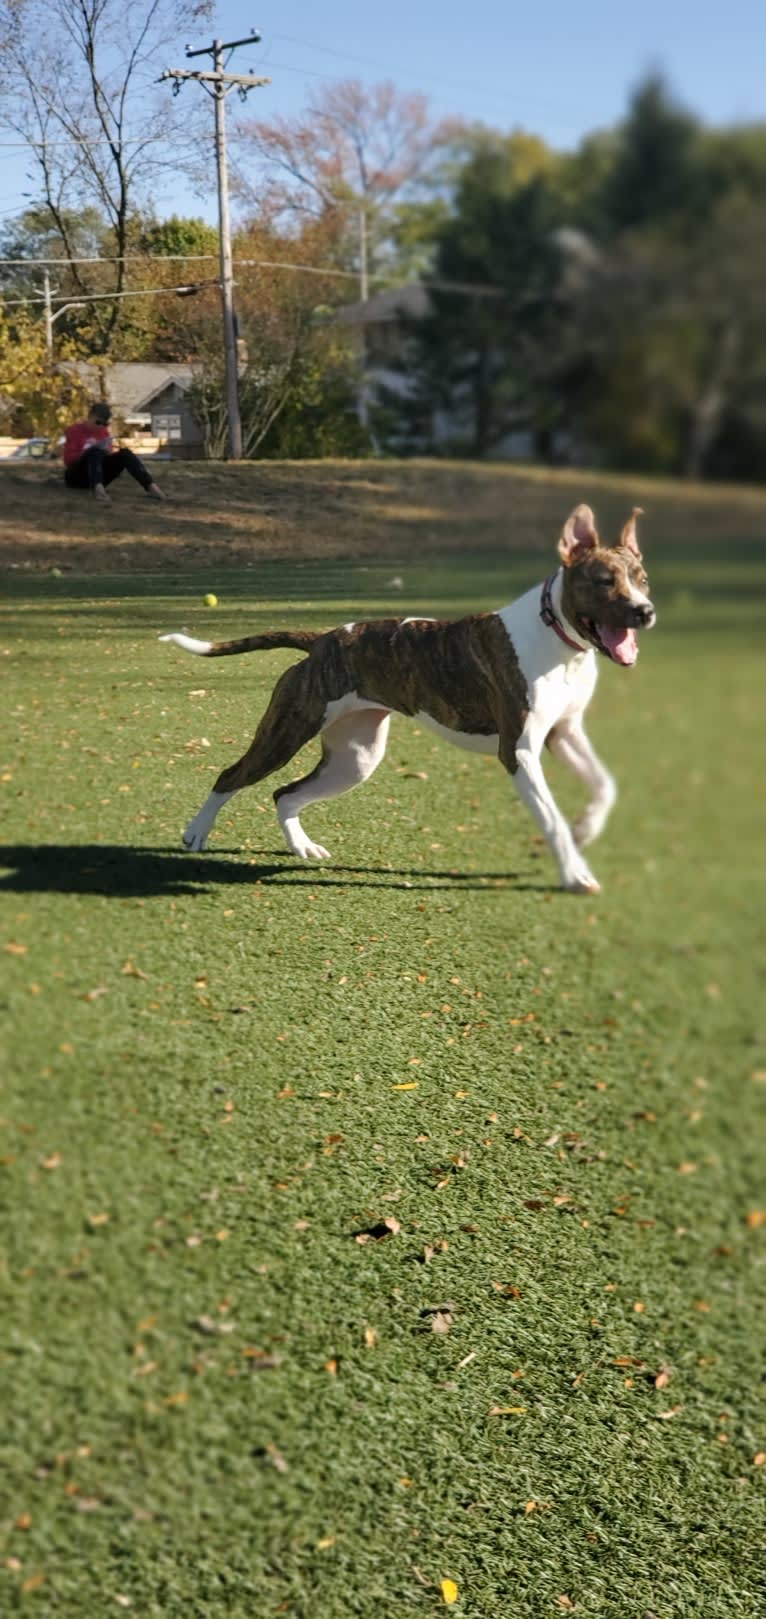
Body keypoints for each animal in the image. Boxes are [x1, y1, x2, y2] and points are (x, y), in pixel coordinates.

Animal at [159, 501, 651, 893]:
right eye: (604, 580)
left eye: (641, 578)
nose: (645, 611)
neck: (558, 638)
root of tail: (321, 640)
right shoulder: (520, 751)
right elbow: (551, 819)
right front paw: (575, 872)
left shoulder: (564, 733)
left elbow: (604, 785)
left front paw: (586, 829)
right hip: (287, 732)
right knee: (231, 775)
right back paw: (197, 833)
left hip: (354, 758)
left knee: (286, 794)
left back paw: (302, 846)